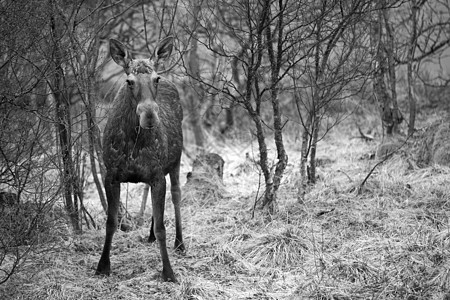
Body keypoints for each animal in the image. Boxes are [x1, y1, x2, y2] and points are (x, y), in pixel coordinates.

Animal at [96, 36, 185, 282]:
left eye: (156, 78)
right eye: (129, 81)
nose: (149, 115)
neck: (134, 143)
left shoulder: (157, 175)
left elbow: (163, 227)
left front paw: (168, 272)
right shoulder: (111, 175)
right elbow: (111, 222)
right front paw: (103, 266)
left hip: (175, 161)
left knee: (177, 196)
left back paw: (180, 243)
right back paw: (151, 236)